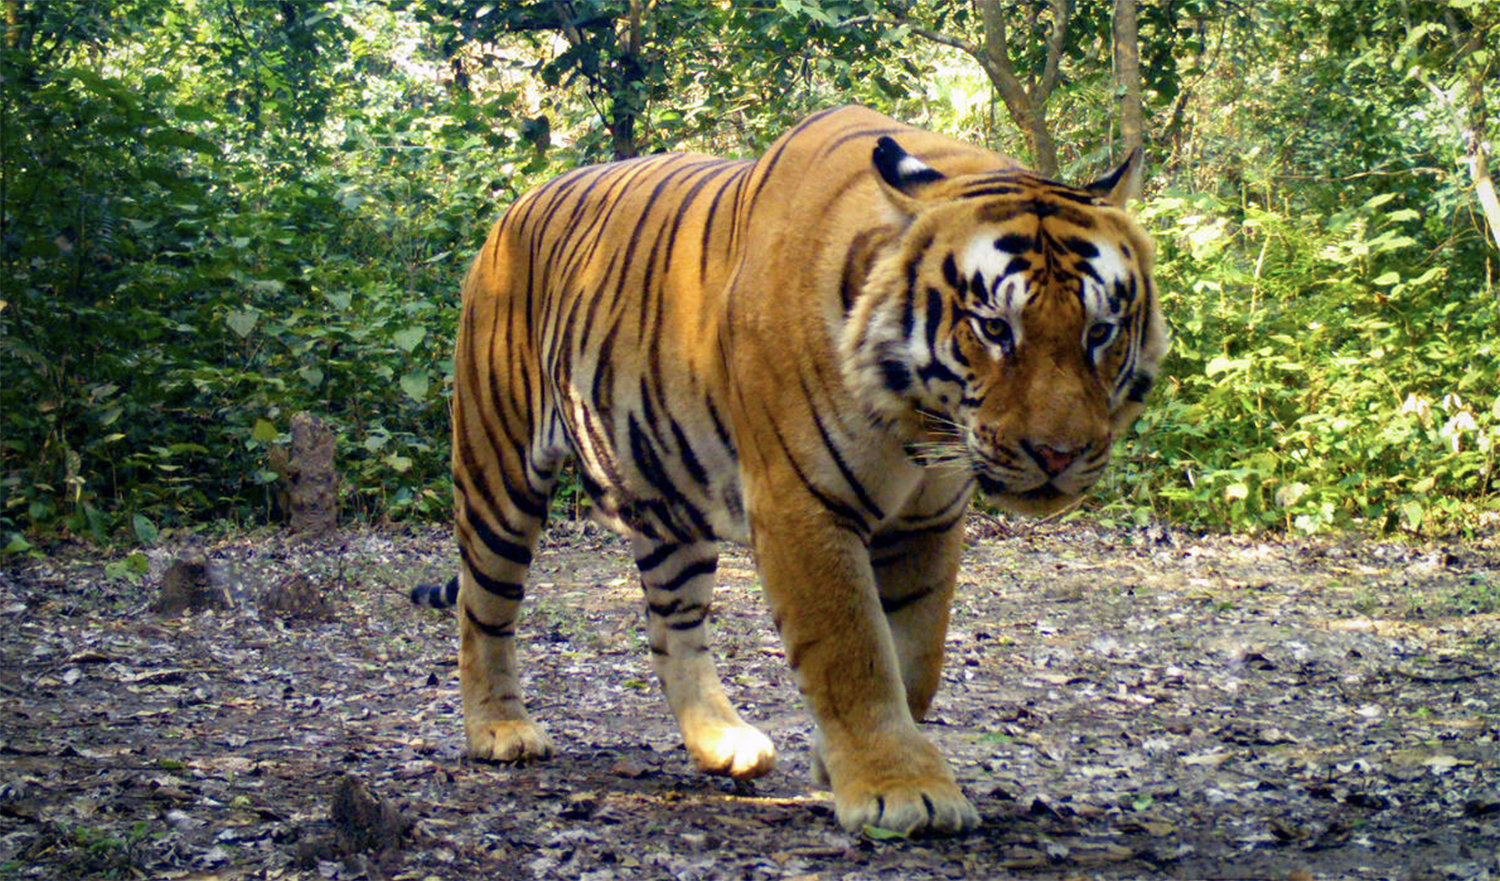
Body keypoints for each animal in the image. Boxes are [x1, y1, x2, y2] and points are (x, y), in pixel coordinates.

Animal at [413, 105, 1168, 835]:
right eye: (993, 328)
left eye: (1100, 331)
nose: (1058, 454)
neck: (922, 421)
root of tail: (516, 205)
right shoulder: (802, 503)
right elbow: (852, 650)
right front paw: (901, 791)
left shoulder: (929, 519)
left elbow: (916, 655)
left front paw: (846, 763)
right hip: (498, 469)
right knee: (484, 607)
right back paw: (500, 729)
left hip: (667, 499)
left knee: (670, 624)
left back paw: (722, 744)